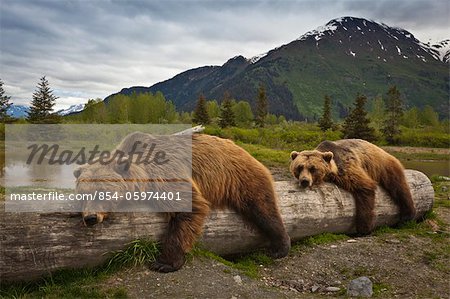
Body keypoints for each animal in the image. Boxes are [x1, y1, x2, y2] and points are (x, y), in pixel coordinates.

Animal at [75, 132, 290, 274]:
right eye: (83, 195)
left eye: (102, 193)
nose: (91, 218)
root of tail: (239, 147)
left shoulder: (166, 174)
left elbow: (188, 209)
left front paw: (164, 263)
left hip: (239, 175)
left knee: (262, 206)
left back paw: (280, 246)